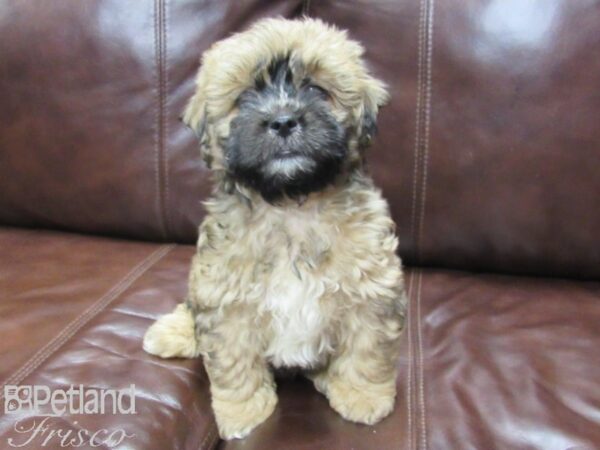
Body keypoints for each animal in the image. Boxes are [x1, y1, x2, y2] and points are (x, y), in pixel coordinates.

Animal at [144, 17, 408, 440]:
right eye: (243, 98)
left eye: (317, 90)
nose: (283, 121)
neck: (289, 204)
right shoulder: (224, 295)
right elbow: (233, 361)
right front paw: (243, 412)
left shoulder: (372, 291)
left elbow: (368, 349)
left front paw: (362, 396)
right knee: (192, 309)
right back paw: (173, 331)